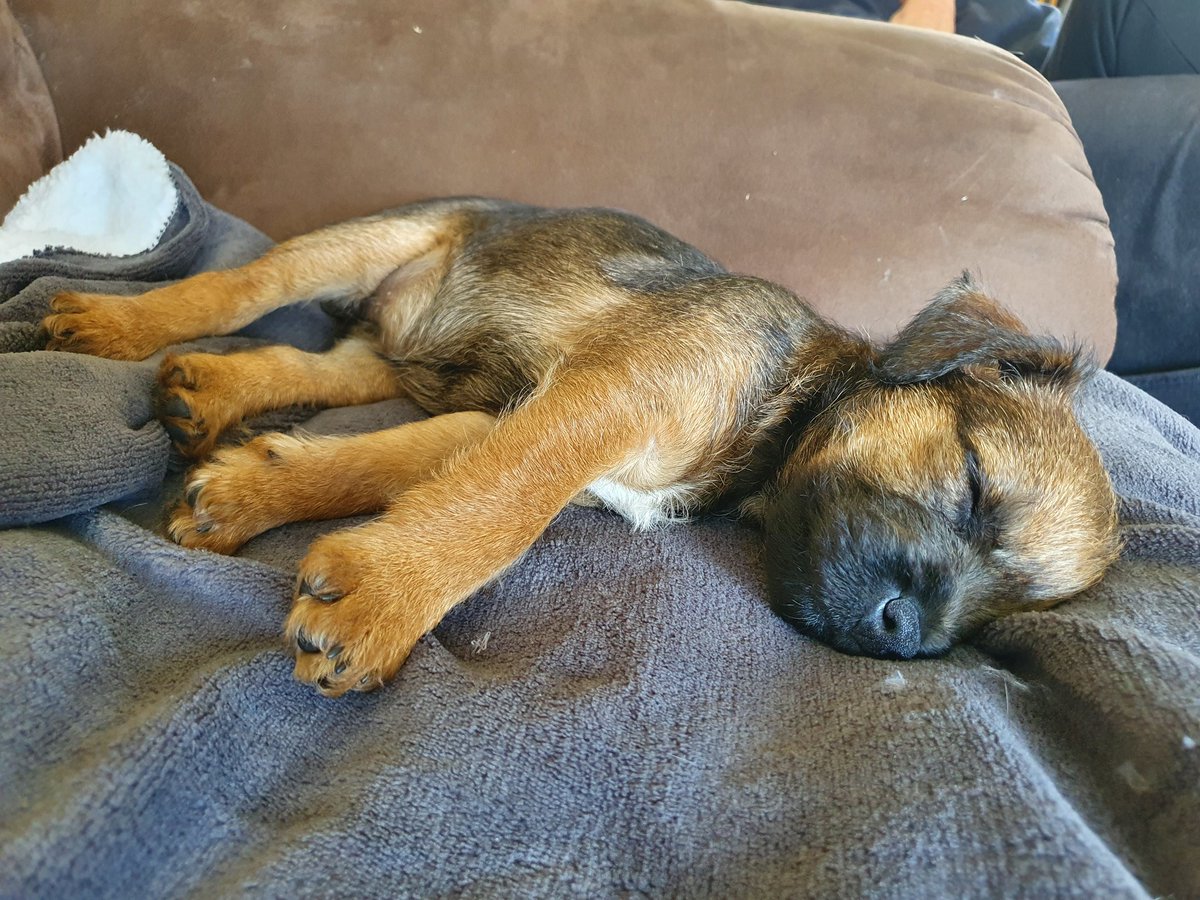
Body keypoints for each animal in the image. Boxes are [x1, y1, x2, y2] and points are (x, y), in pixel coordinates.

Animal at [42, 199, 1118, 696]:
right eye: (972, 483)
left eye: (1008, 615)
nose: (908, 635)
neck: (781, 417)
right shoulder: (603, 400)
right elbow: (503, 510)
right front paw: (388, 603)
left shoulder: (515, 417)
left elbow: (399, 469)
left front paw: (251, 498)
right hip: (367, 241)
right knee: (236, 291)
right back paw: (114, 326)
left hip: (394, 365)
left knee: (315, 367)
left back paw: (213, 396)